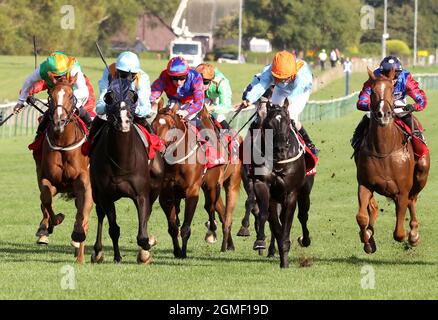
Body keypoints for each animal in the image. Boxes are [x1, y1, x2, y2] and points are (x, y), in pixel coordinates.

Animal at [33, 74, 93, 264]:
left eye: (70, 95)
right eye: (50, 95)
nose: (59, 121)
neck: (62, 143)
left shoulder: (83, 182)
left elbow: (82, 213)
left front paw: (77, 237)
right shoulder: (48, 179)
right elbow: (45, 199)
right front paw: (53, 222)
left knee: (85, 214)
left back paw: (79, 250)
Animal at [89, 79, 164, 264]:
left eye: (132, 99)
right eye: (109, 98)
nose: (123, 121)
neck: (121, 162)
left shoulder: (141, 194)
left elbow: (143, 235)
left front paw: (146, 249)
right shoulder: (106, 195)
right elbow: (114, 229)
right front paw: (116, 256)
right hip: (96, 192)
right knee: (100, 215)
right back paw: (98, 252)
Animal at [152, 100, 234, 258]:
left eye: (171, 127)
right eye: (153, 125)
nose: (158, 149)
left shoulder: (192, 191)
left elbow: (186, 227)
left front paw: (183, 252)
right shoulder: (166, 195)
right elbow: (173, 227)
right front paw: (177, 251)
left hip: (212, 185)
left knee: (211, 207)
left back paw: (213, 232)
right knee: (219, 209)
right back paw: (228, 243)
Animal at [250, 103, 312, 268]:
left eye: (287, 122)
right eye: (268, 124)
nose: (280, 149)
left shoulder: (291, 193)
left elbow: (287, 223)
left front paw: (285, 258)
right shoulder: (263, 187)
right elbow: (267, 216)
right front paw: (260, 241)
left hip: (305, 192)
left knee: (303, 215)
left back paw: (305, 239)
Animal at [354, 69, 430, 254]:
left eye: (391, 90)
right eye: (372, 91)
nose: (383, 114)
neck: (384, 150)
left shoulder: (402, 191)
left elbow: (399, 234)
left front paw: (411, 235)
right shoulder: (365, 184)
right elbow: (361, 216)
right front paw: (368, 239)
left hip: (421, 174)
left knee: (412, 200)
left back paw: (414, 234)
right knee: (373, 209)